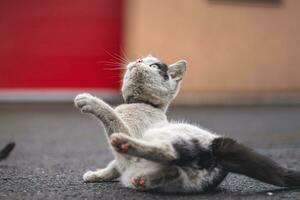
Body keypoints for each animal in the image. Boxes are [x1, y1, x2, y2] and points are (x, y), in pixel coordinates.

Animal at [74, 55, 298, 193]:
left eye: (154, 66)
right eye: (142, 59)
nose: (137, 60)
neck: (141, 104)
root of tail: (217, 151)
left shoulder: (125, 129)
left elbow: (112, 115)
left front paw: (89, 101)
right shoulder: (120, 161)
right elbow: (113, 165)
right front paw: (97, 175)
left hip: (168, 137)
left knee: (167, 151)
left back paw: (126, 145)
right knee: (172, 168)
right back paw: (147, 180)